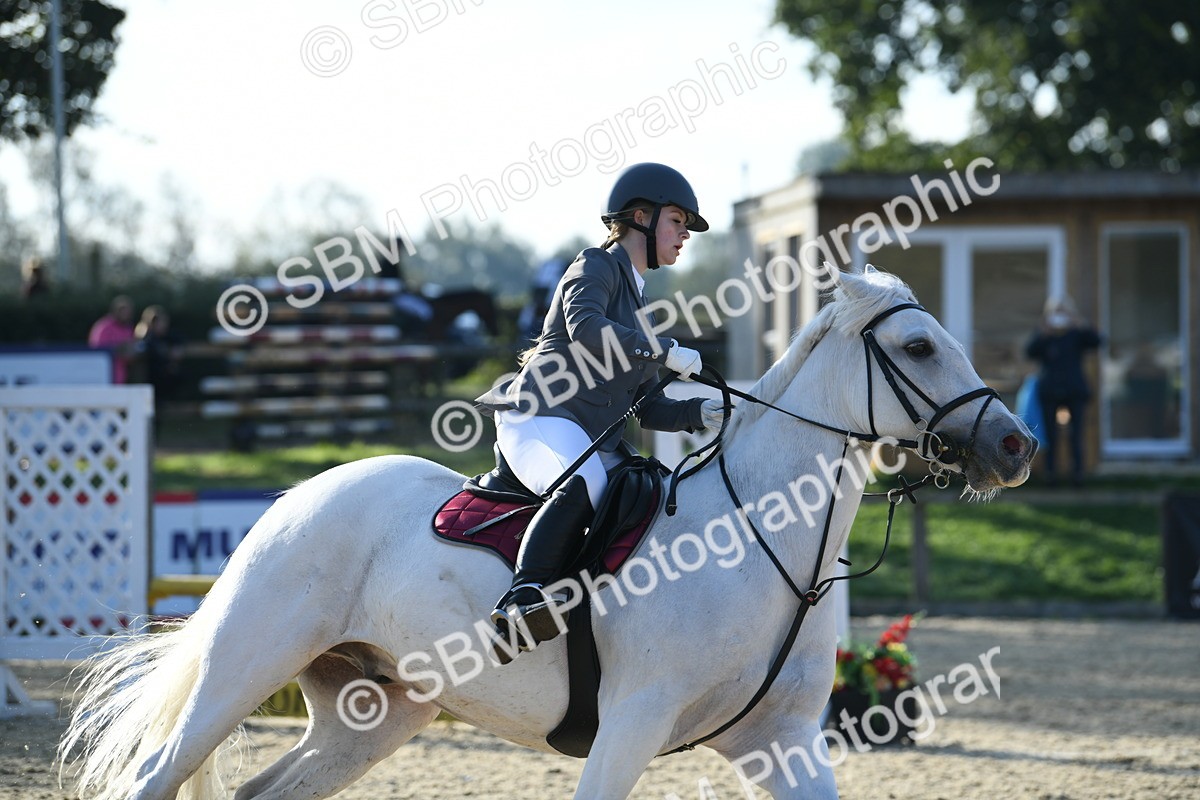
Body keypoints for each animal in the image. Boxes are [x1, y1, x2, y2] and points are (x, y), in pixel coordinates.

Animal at [60, 265, 1034, 799]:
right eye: (916, 348)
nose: (1016, 445)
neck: (761, 538)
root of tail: (302, 493)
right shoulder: (631, 724)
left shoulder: (783, 740)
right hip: (245, 666)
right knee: (155, 777)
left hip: (370, 716)